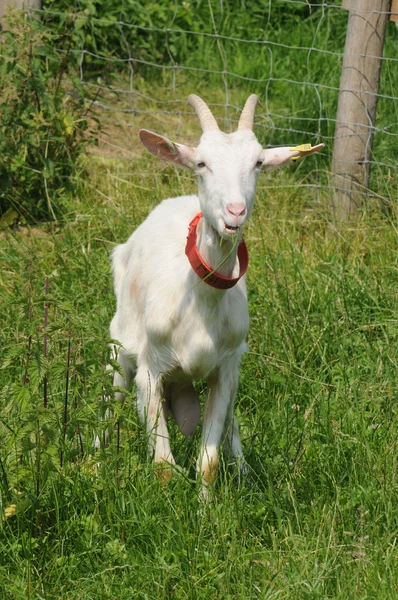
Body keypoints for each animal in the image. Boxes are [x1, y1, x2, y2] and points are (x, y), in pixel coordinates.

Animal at [109, 94, 324, 492]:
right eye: (201, 163)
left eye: (258, 163)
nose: (234, 212)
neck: (200, 304)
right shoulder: (151, 367)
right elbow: (163, 466)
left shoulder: (225, 370)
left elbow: (208, 461)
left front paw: (207, 505)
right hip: (120, 344)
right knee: (109, 399)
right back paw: (94, 460)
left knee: (231, 424)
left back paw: (243, 469)